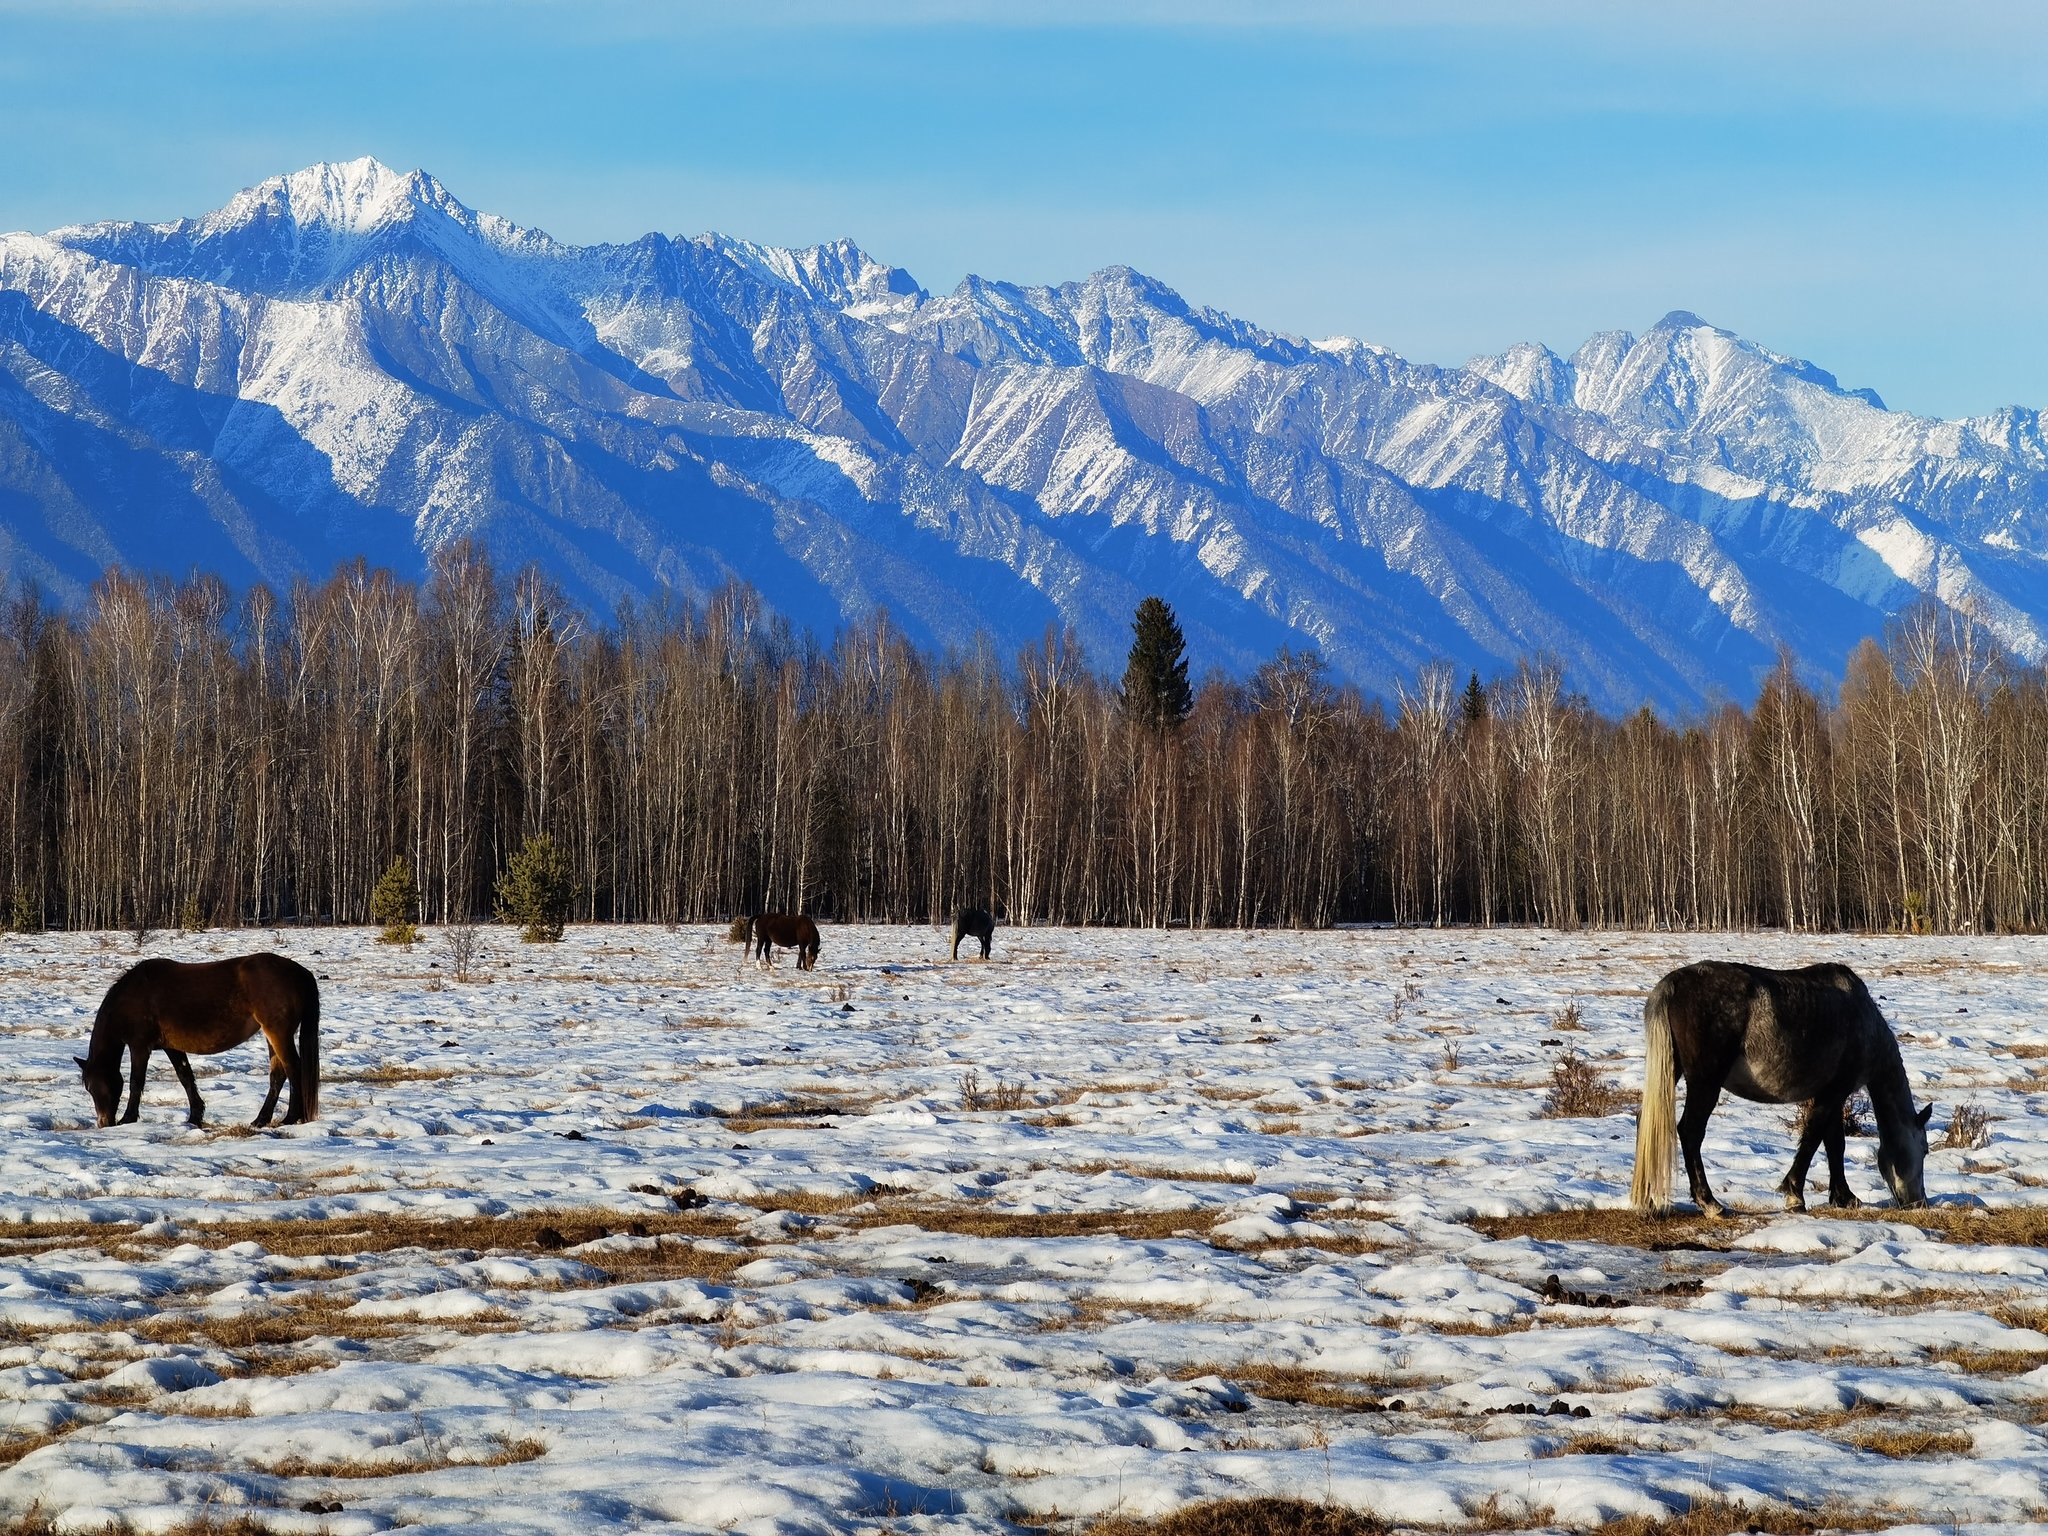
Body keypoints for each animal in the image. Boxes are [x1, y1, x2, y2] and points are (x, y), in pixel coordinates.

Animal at [74, 950, 319, 1130]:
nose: (104, 1122)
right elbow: (186, 1077)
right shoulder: (171, 1047)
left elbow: (136, 1082)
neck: (132, 997)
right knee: (278, 1075)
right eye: (88, 1088)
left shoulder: (139, 1046)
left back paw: (290, 1117)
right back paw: (261, 1120)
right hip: (272, 1035)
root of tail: (300, 973)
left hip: (278, 1033)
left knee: (293, 1069)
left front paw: (128, 1118)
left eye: (96, 1086)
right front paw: (195, 1116)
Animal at [1630, 962, 1933, 1228]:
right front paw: (1795, 1196)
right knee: (1690, 1131)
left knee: (1646, 1121)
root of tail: (1672, 984)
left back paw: (1649, 1200)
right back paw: (1711, 1204)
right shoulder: (1832, 1094)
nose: (1919, 1203)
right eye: (1924, 1149)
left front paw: (1844, 1197)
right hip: (1705, 1083)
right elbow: (1812, 1139)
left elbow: (1834, 1143)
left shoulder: (1832, 1095)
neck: (1862, 1019)